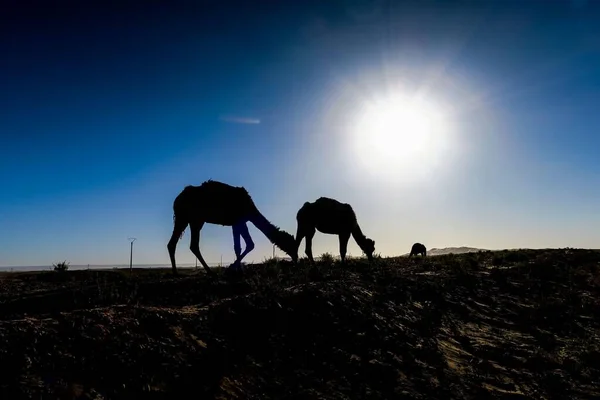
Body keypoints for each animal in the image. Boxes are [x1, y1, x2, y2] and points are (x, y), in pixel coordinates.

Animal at [166, 180, 298, 276]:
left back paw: (176, 272)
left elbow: (238, 247)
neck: (250, 208)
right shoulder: (239, 220)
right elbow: (249, 244)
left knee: (175, 243)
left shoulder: (237, 223)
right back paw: (209, 272)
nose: (296, 259)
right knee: (192, 244)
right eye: (291, 244)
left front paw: (239, 270)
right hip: (193, 219)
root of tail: (177, 199)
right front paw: (231, 269)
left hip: (186, 219)